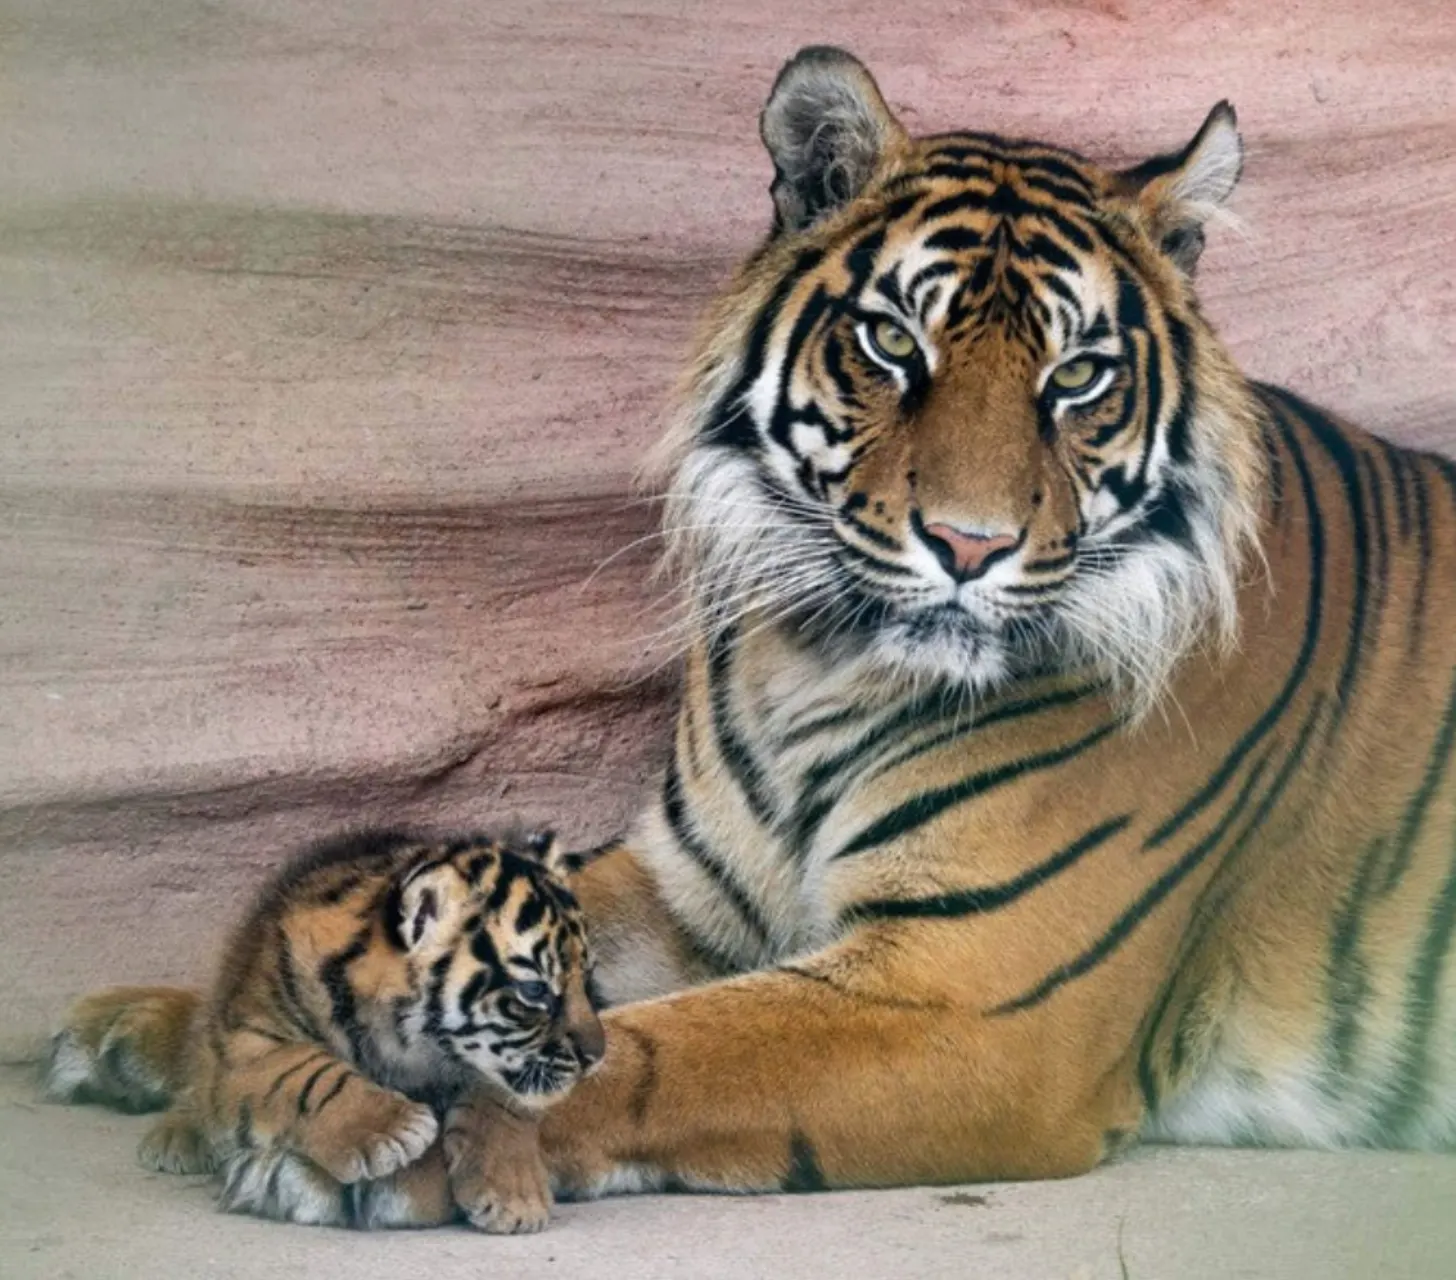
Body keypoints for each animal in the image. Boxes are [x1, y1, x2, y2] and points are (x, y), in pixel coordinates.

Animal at [46, 827, 603, 1232]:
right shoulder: (246, 1047)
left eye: (586, 978)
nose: (597, 1056)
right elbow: (307, 1073)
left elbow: (501, 1101)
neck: (410, 1043)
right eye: (535, 991)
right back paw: (177, 1139)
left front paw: (514, 1194)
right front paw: (394, 1131)